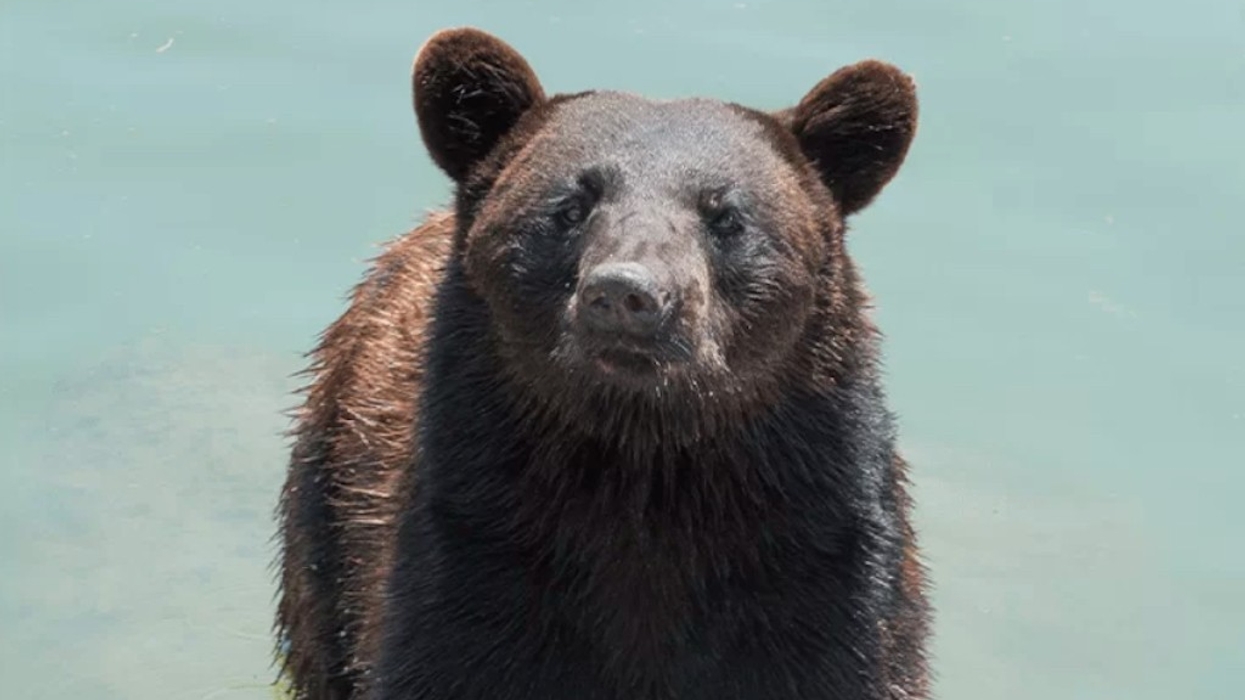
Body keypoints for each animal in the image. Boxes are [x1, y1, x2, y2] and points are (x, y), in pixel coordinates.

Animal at [275, 26, 929, 700]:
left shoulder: (822, 569)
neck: (641, 460)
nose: (626, 294)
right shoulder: (468, 558)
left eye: (725, 214)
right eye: (569, 206)